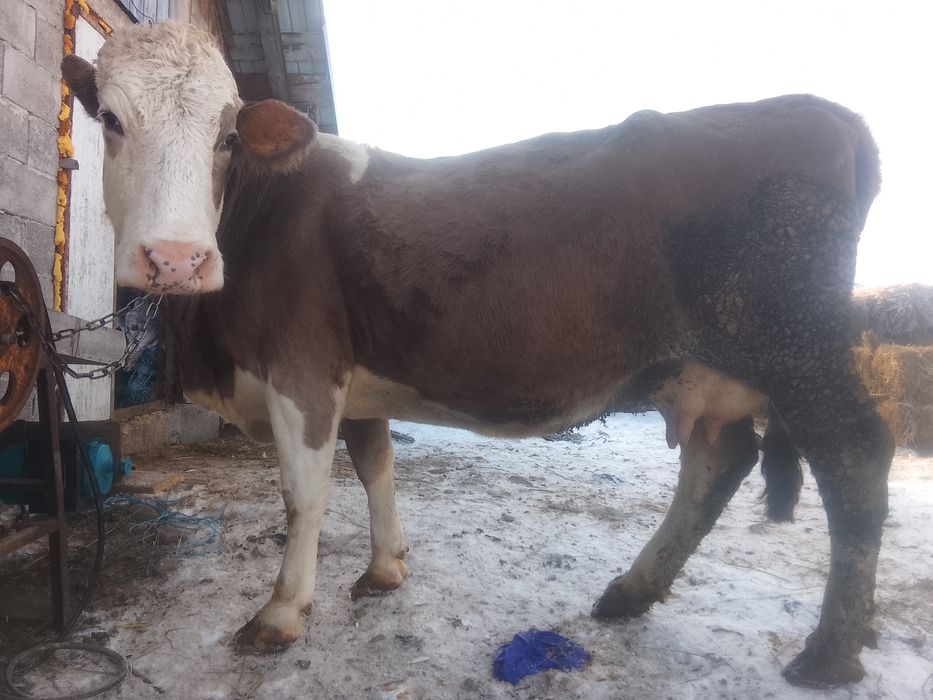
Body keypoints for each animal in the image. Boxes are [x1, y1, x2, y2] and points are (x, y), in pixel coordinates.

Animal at [61, 21, 893, 689]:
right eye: (110, 118)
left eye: (226, 136)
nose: (175, 259)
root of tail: (826, 114)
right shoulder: (357, 378)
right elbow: (376, 467)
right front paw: (385, 568)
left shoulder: (302, 367)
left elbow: (305, 495)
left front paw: (281, 612)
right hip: (711, 368)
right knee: (717, 463)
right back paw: (630, 592)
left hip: (799, 350)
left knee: (853, 462)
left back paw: (828, 652)